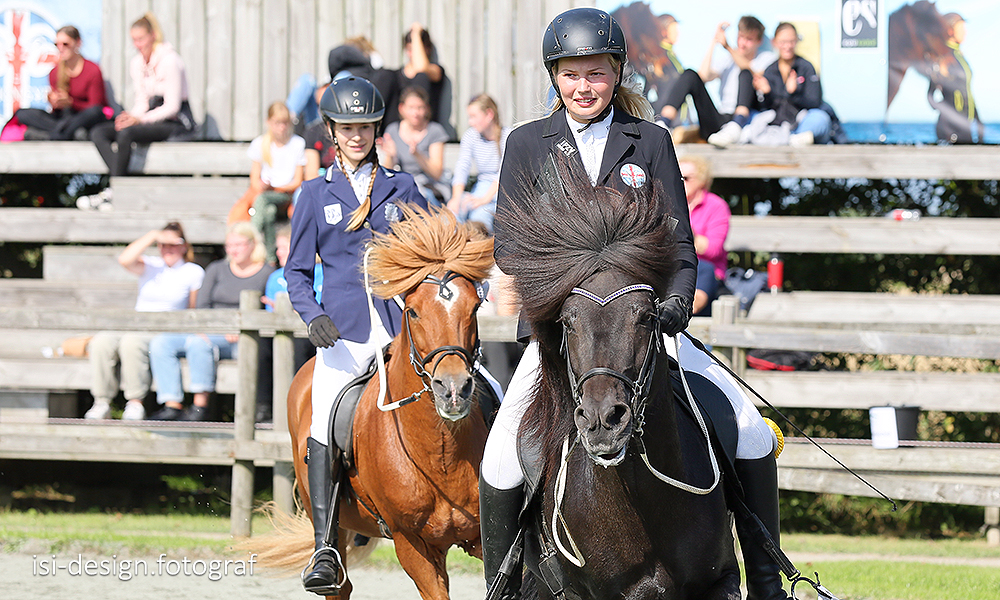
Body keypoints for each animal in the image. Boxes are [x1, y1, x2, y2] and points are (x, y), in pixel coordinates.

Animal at [286, 204, 496, 596]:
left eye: (475, 308)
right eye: (412, 311)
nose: (453, 390)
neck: (439, 451)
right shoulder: (412, 544)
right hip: (330, 523)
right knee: (338, 583)